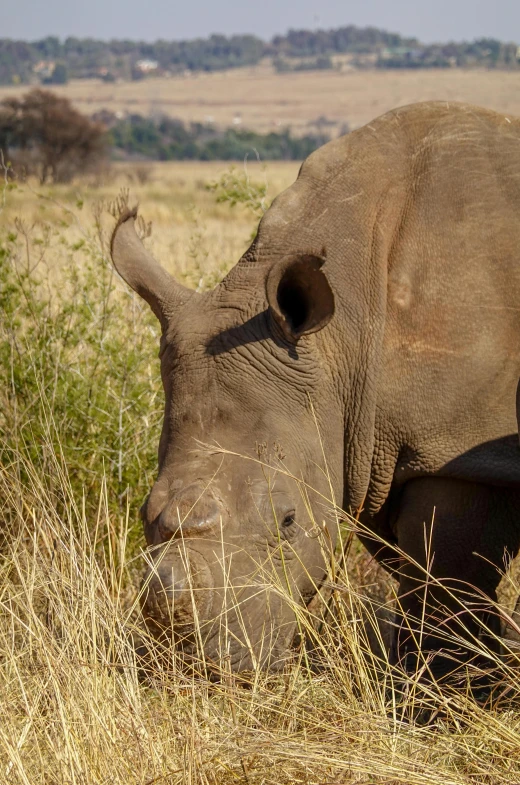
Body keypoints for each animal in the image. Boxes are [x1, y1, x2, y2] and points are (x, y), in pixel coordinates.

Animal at [110, 102, 520, 680]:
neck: (347, 333)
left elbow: (448, 586)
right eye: (145, 514)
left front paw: (447, 691)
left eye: (288, 522)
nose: (202, 671)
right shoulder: (371, 444)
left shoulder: (454, 448)